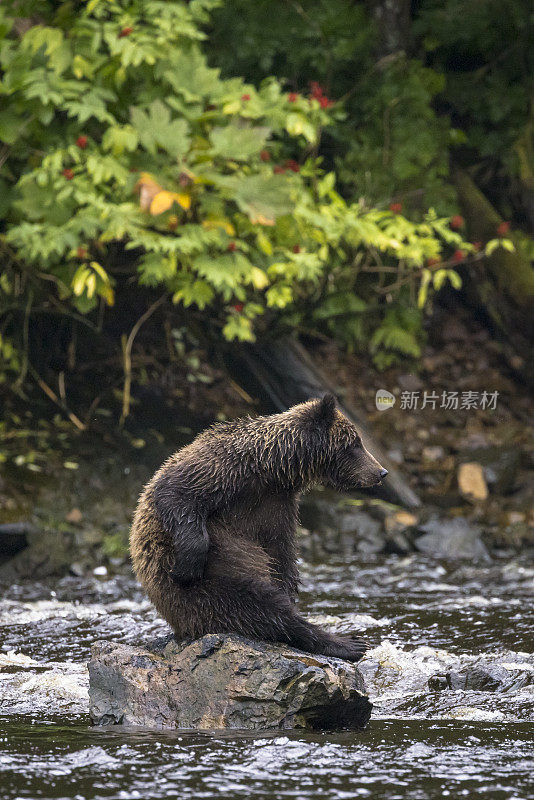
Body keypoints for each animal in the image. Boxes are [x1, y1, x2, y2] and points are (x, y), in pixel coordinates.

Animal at [130, 394, 390, 664]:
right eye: (355, 443)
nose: (381, 472)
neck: (272, 468)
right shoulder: (224, 471)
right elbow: (176, 494)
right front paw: (186, 567)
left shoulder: (276, 505)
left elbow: (280, 554)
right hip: (202, 595)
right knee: (258, 606)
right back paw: (347, 643)